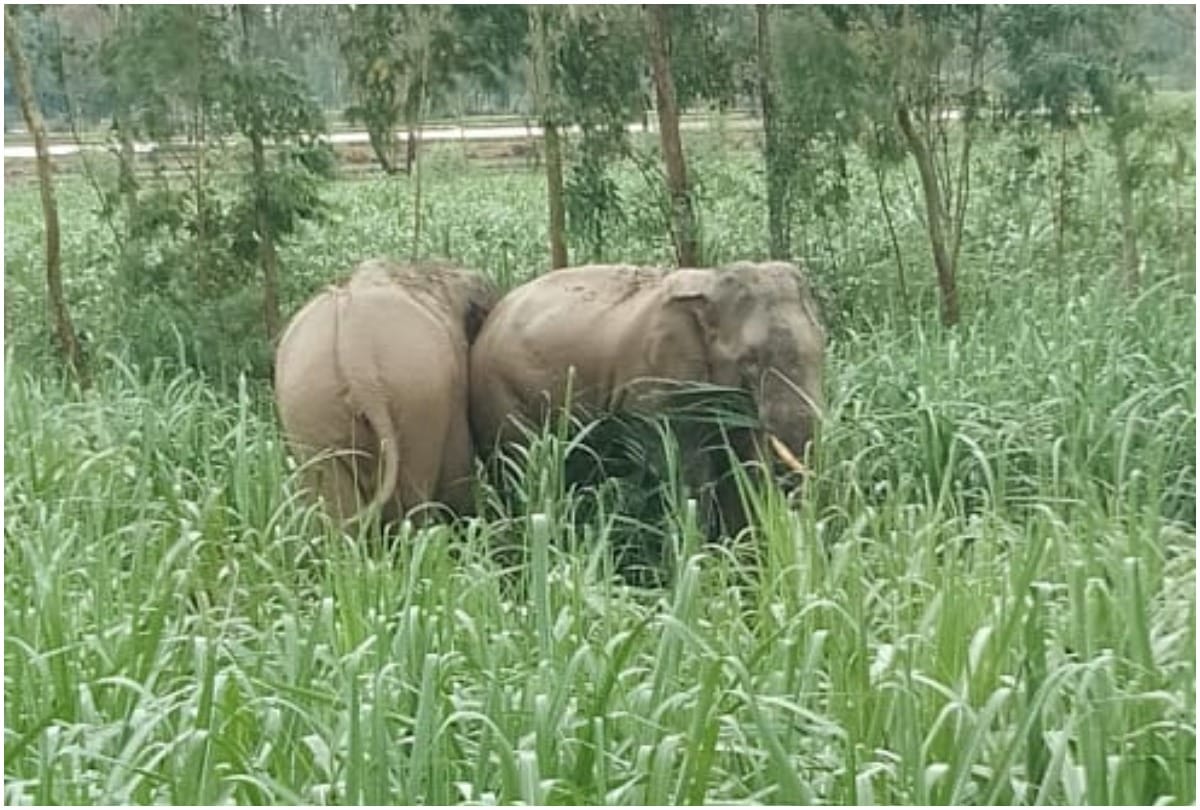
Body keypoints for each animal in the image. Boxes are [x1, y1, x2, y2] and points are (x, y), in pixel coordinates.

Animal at [469, 260, 825, 536]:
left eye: (822, 345)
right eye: (749, 360)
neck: (710, 281)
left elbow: (741, 464)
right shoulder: (657, 387)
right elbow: (687, 472)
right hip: (502, 398)